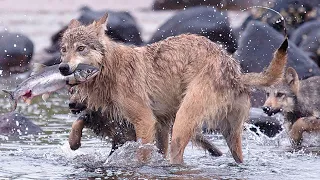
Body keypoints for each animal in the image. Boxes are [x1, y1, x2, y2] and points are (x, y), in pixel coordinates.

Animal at [58, 13, 288, 165]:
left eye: (81, 48)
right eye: (63, 50)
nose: (62, 68)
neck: (110, 69)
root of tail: (236, 72)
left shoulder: (145, 121)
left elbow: (142, 156)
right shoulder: (158, 124)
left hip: (181, 124)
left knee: (178, 159)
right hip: (229, 136)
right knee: (237, 158)